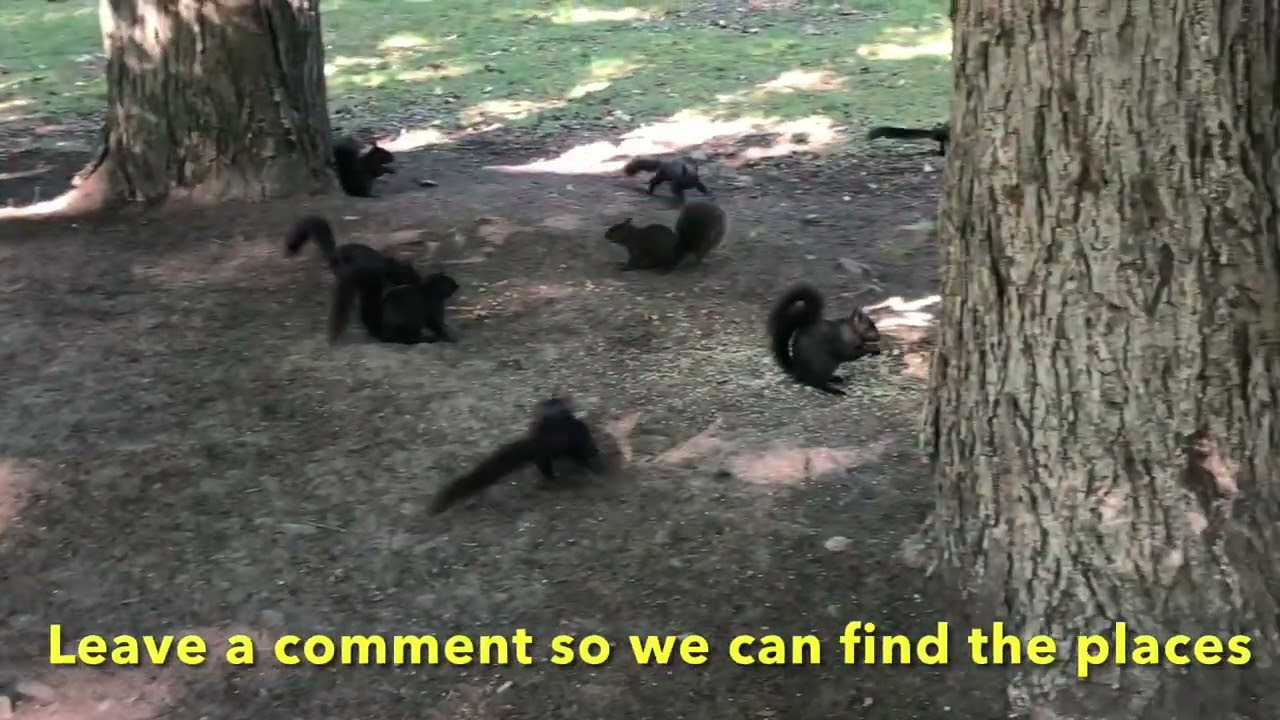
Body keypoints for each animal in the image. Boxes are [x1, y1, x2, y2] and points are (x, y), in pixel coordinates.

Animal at [285, 216, 459, 344]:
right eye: (449, 282)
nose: (457, 285)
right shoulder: (432, 306)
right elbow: (435, 324)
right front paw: (447, 336)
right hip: (408, 326)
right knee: (409, 339)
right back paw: (425, 338)